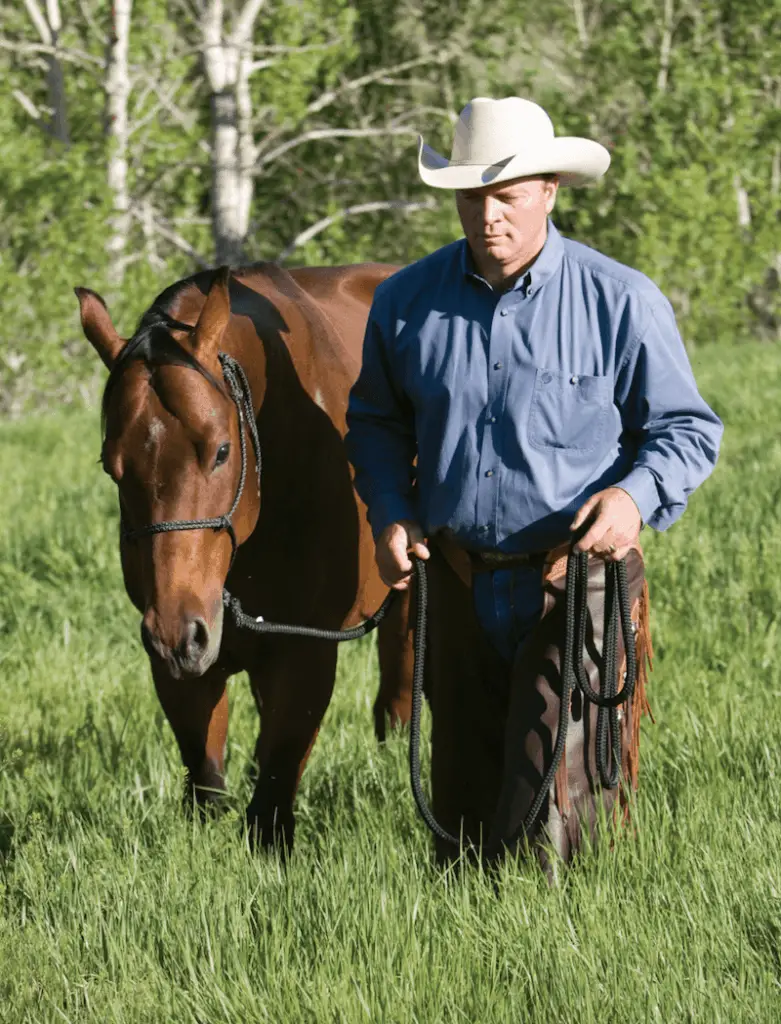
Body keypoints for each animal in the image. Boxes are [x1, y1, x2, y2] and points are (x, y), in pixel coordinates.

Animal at [75, 262, 411, 847]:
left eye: (221, 451)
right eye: (112, 466)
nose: (177, 632)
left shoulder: (306, 650)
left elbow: (272, 802)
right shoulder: (182, 663)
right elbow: (207, 786)